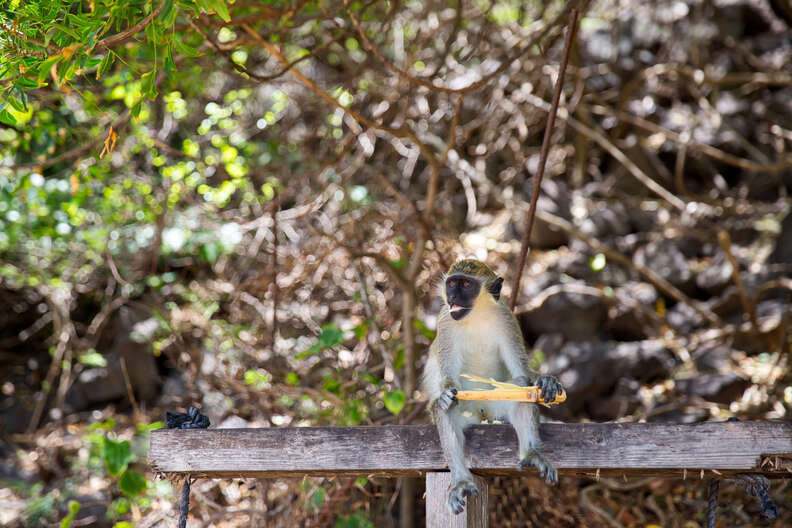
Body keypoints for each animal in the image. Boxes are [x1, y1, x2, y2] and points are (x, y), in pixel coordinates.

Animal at [420, 260, 564, 516]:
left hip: (496, 406)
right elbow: (448, 382)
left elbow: (521, 371)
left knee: (520, 388)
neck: (477, 315)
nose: (452, 296)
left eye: (466, 284)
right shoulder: (445, 321)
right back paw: (461, 481)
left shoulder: (506, 318)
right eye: (452, 284)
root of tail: (483, 412)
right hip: (469, 411)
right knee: (446, 406)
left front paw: (544, 380)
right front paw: (446, 393)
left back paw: (531, 454)